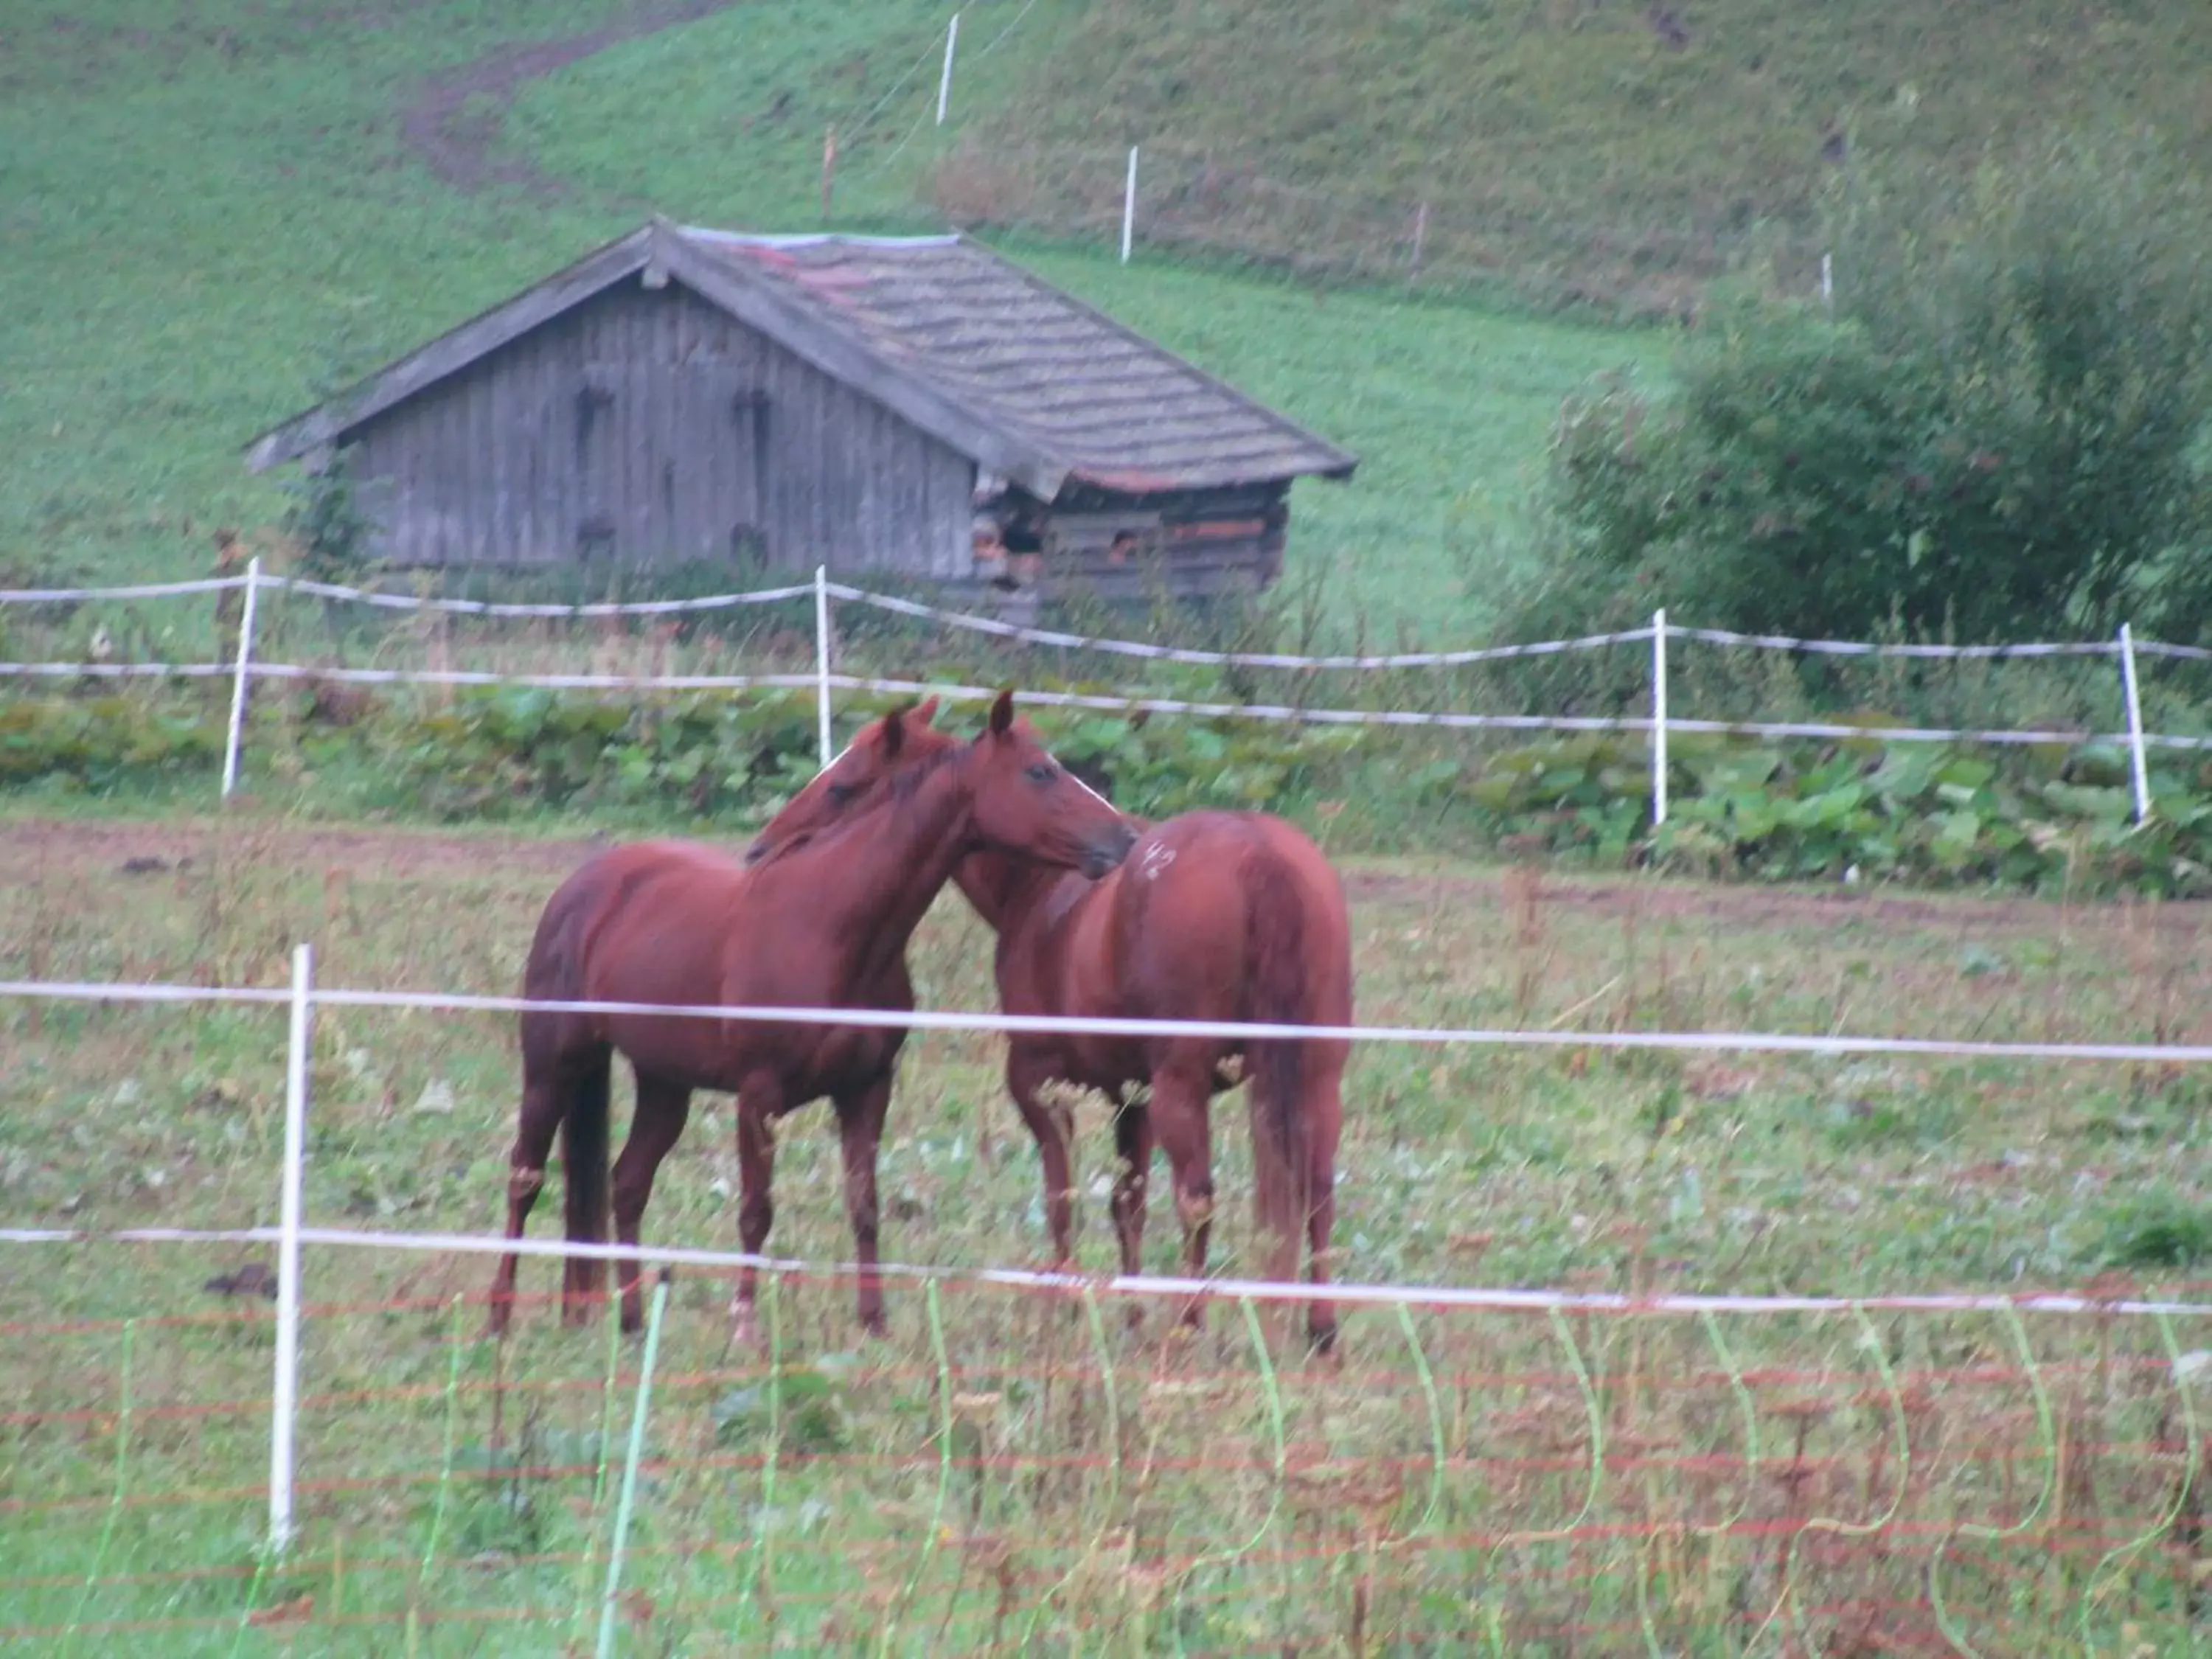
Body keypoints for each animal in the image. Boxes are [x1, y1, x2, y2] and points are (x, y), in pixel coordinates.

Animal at [487, 695, 1141, 1345]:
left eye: (843, 786)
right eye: (1039, 772)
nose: (1125, 839)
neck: (831, 928)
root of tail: (585, 885)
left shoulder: (866, 1090)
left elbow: (865, 1205)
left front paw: (874, 1321)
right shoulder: (758, 1097)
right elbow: (756, 1212)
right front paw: (746, 1326)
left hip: (664, 1085)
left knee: (626, 1183)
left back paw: (630, 1320)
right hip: (553, 1068)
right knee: (526, 1176)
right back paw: (499, 1317)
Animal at [752, 703, 1354, 1354]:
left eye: (841, 787)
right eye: (1043, 771)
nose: (762, 850)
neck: (1040, 894)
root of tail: (1260, 854)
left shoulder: (1040, 1085)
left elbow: (1062, 1199)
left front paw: (1066, 1308)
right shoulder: (1132, 1100)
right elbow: (1127, 1205)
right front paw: (1129, 1317)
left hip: (1186, 1086)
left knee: (1198, 1199)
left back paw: (1190, 1325)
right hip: (1313, 1080)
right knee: (1318, 1190)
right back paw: (1320, 1329)